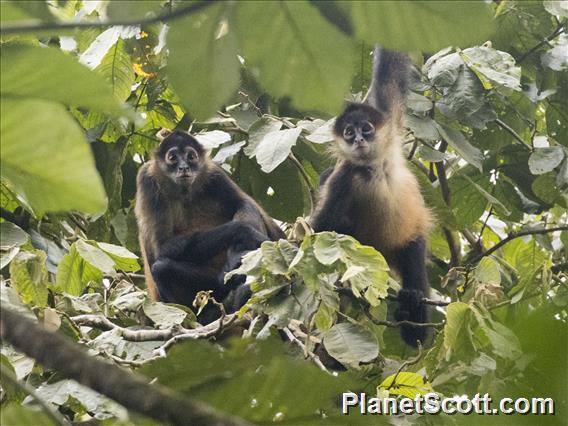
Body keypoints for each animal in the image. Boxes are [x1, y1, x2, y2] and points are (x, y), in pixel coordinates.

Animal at [134, 131, 284, 322]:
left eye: (191, 157)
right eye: (173, 158)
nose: (184, 167)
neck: (184, 192)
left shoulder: (213, 172)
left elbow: (243, 204)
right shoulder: (147, 179)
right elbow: (161, 249)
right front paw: (244, 233)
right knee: (162, 268)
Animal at [310, 47, 430, 346]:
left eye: (365, 128)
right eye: (348, 133)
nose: (358, 141)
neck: (373, 167)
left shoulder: (388, 122)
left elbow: (390, 72)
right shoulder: (344, 177)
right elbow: (319, 228)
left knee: (414, 248)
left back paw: (414, 312)